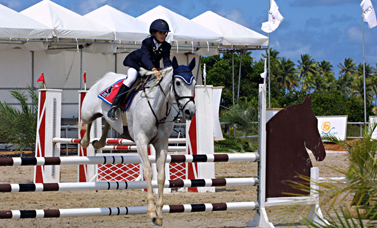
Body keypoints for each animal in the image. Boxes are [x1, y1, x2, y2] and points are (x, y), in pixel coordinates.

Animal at [79, 56, 197, 225]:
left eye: (194, 83)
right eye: (178, 83)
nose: (190, 111)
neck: (158, 106)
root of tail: (105, 79)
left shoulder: (161, 143)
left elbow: (161, 176)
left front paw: (159, 215)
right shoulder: (142, 141)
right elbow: (148, 172)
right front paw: (151, 211)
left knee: (107, 120)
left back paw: (100, 142)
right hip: (88, 112)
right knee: (88, 122)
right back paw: (85, 141)